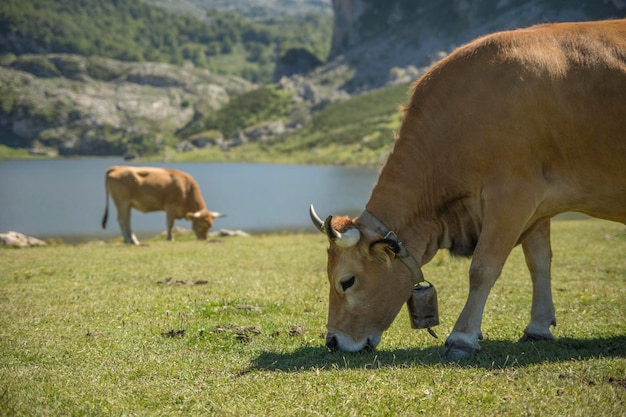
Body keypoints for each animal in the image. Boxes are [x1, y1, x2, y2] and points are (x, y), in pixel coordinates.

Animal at [308, 18, 624, 358]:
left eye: (347, 281)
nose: (333, 341)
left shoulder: (513, 196)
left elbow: (483, 268)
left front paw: (462, 337)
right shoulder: (538, 206)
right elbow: (538, 262)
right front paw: (538, 327)